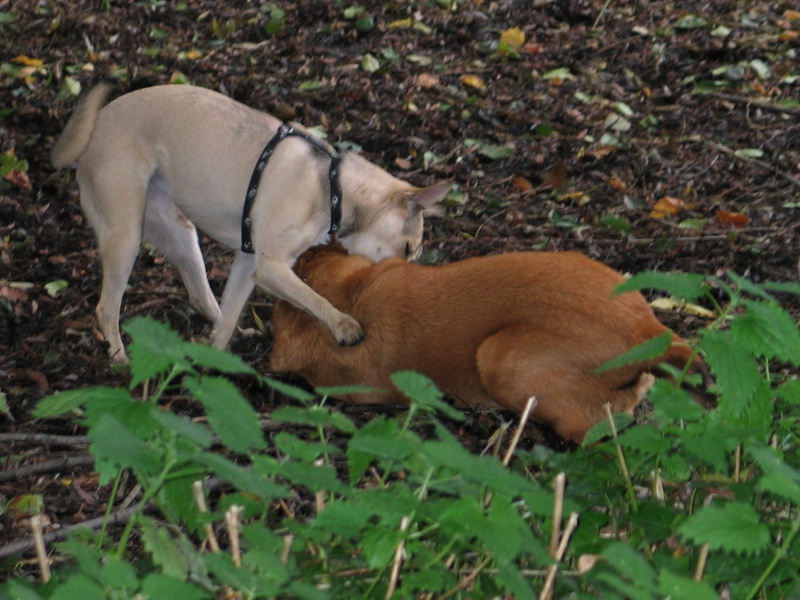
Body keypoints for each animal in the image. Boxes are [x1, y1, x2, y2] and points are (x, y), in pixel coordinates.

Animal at [52, 84, 446, 360]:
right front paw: (343, 325)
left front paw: (212, 364)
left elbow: (229, 315)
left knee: (204, 299)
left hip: (180, 234)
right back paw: (120, 358)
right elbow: (313, 297)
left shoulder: (248, 262)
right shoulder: (271, 267)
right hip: (126, 237)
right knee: (107, 308)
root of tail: (96, 128)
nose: (410, 276)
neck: (331, 186)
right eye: (408, 247)